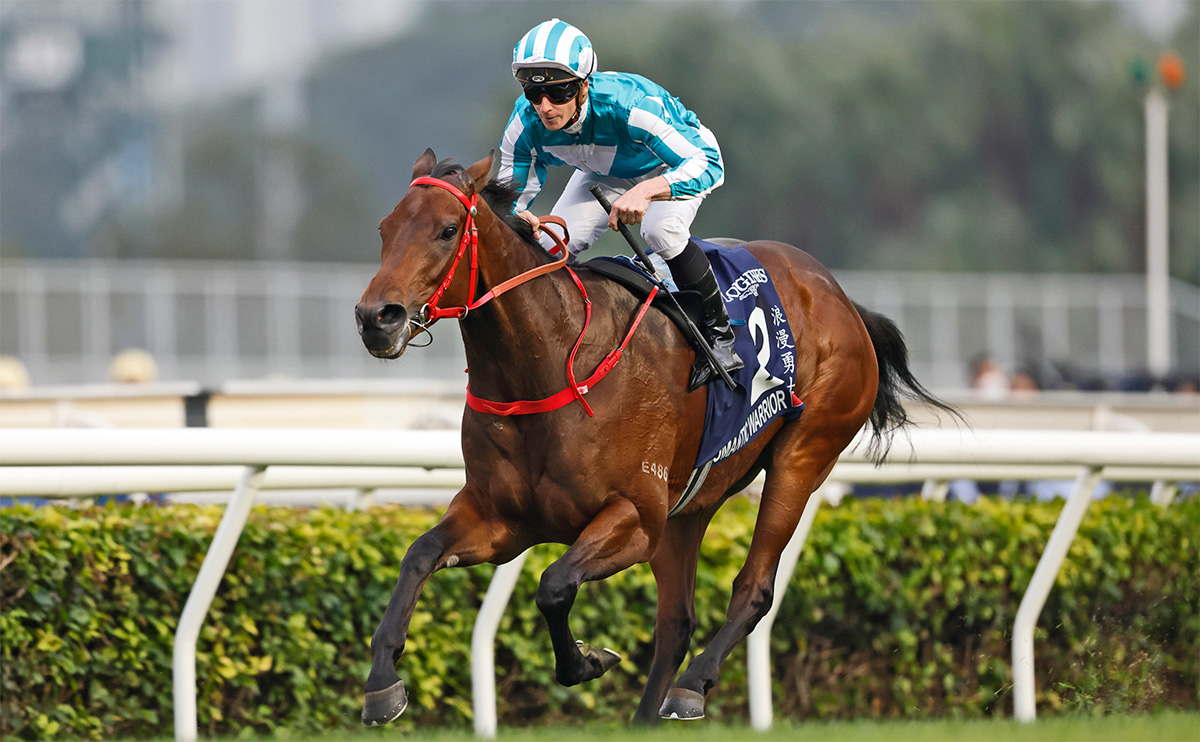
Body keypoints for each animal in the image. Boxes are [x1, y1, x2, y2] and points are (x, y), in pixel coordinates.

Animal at [354, 149, 953, 725]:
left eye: (447, 229)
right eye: (384, 228)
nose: (376, 318)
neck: (549, 366)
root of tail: (841, 298)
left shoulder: (636, 518)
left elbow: (554, 584)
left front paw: (587, 660)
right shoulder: (501, 518)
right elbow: (419, 554)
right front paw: (382, 685)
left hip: (802, 457)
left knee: (754, 589)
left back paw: (692, 686)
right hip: (689, 506)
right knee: (676, 622)